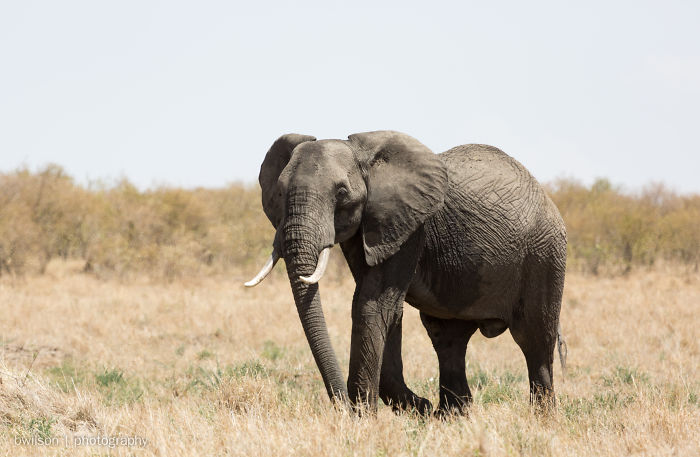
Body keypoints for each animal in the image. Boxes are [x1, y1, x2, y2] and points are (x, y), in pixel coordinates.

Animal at [245, 131, 567, 415]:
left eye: (342, 193)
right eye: (280, 192)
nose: (342, 408)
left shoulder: (409, 226)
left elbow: (374, 303)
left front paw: (368, 418)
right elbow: (385, 308)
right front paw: (419, 408)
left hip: (545, 254)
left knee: (535, 340)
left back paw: (541, 420)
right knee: (447, 339)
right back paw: (451, 417)